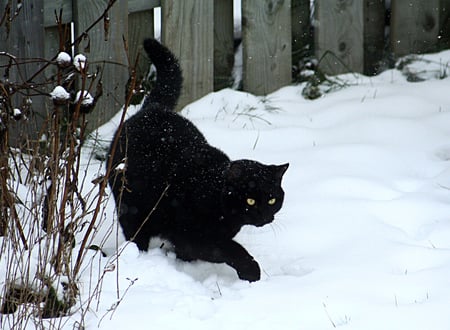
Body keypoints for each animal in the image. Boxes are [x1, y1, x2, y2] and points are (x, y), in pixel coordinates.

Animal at [108, 38, 288, 282]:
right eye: (250, 200)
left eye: (272, 200)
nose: (265, 216)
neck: (214, 193)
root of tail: (153, 108)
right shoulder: (191, 236)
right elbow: (230, 249)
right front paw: (251, 271)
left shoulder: (192, 242)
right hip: (131, 209)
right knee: (136, 236)